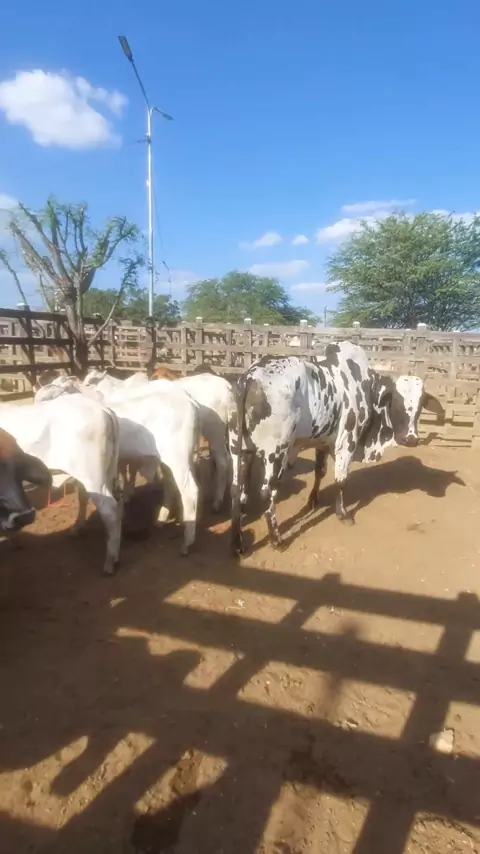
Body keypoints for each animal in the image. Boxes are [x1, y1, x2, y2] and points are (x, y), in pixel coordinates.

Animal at [229, 341, 444, 554]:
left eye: (421, 405)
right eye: (397, 403)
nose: (411, 439)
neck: (367, 388)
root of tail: (250, 377)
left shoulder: (322, 442)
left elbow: (320, 471)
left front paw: (313, 501)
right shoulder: (346, 443)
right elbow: (341, 481)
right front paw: (343, 513)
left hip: (239, 449)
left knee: (237, 488)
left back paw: (237, 541)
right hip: (276, 453)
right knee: (267, 492)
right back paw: (276, 540)